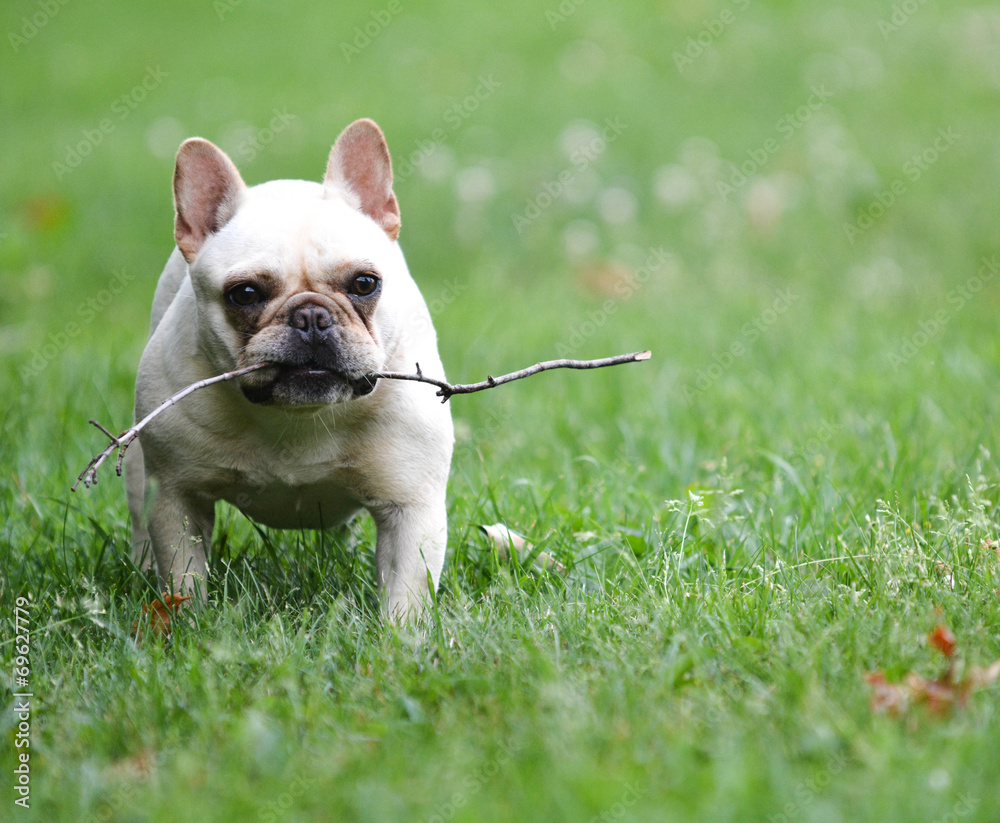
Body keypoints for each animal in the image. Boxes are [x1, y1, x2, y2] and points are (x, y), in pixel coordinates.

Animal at [125, 116, 454, 616]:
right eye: (244, 294)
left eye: (365, 283)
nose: (311, 317)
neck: (298, 418)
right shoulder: (178, 498)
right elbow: (185, 576)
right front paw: (189, 623)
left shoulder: (412, 508)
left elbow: (406, 594)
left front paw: (402, 635)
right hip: (140, 473)